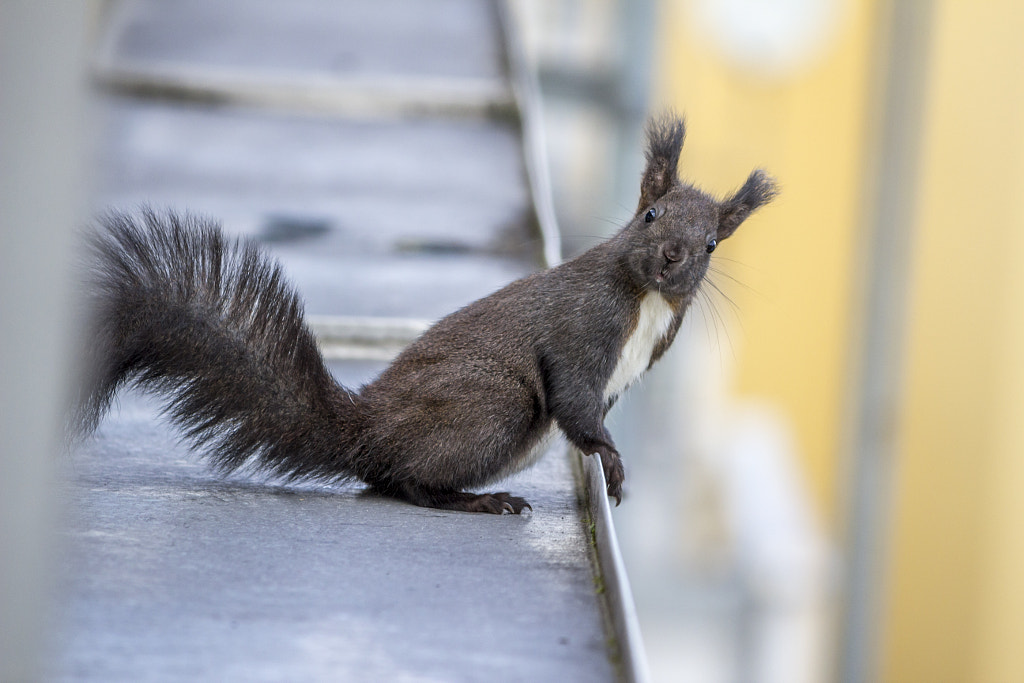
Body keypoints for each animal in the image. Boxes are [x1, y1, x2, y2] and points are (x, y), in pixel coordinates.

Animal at [72, 114, 774, 516]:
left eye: (713, 244)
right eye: (651, 215)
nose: (673, 257)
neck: (647, 299)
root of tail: (365, 431)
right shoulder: (582, 328)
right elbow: (576, 401)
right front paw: (611, 458)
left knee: (384, 479)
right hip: (491, 404)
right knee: (405, 479)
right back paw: (478, 501)